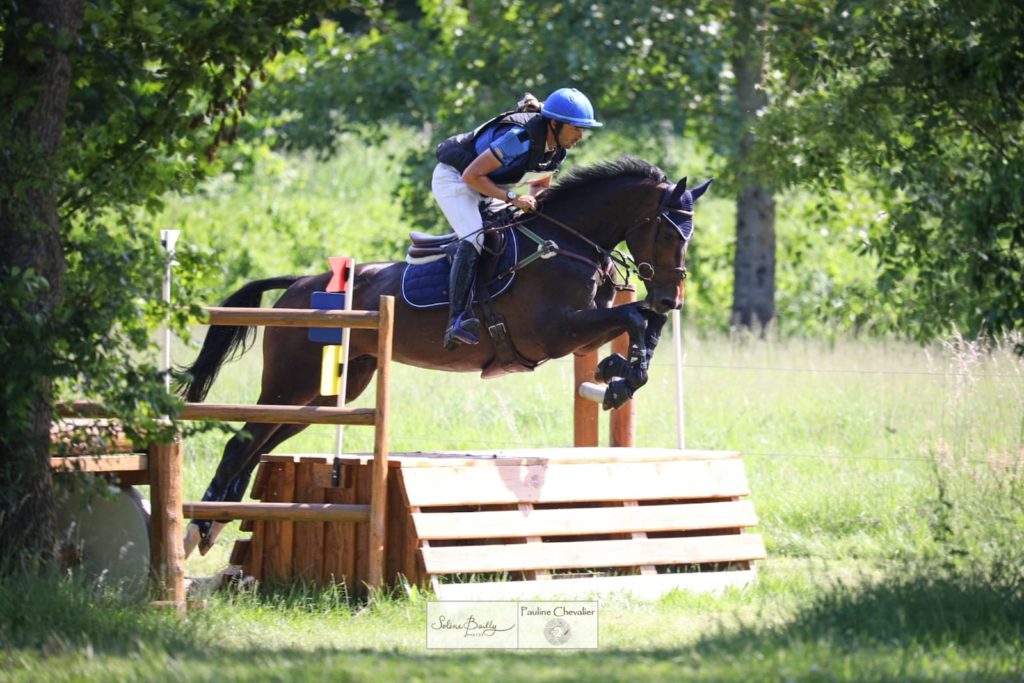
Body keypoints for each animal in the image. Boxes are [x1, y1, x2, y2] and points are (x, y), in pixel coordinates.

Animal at [178, 156, 712, 557]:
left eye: (689, 236)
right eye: (669, 234)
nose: (672, 298)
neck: (569, 243)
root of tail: (298, 285)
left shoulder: (581, 332)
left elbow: (642, 322)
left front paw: (618, 371)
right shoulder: (555, 332)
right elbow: (635, 318)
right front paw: (620, 377)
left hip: (332, 392)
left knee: (262, 442)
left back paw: (217, 520)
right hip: (295, 381)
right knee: (243, 440)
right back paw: (197, 528)